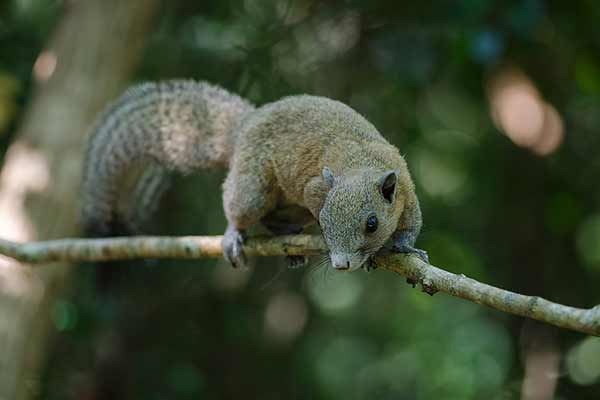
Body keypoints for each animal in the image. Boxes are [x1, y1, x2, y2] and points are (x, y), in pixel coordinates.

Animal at [81, 79, 426, 270]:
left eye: (372, 224)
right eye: (324, 222)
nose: (341, 264)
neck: (360, 164)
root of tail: (244, 125)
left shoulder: (405, 188)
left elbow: (411, 224)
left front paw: (406, 247)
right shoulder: (316, 190)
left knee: (273, 219)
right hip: (254, 188)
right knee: (242, 208)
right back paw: (235, 235)